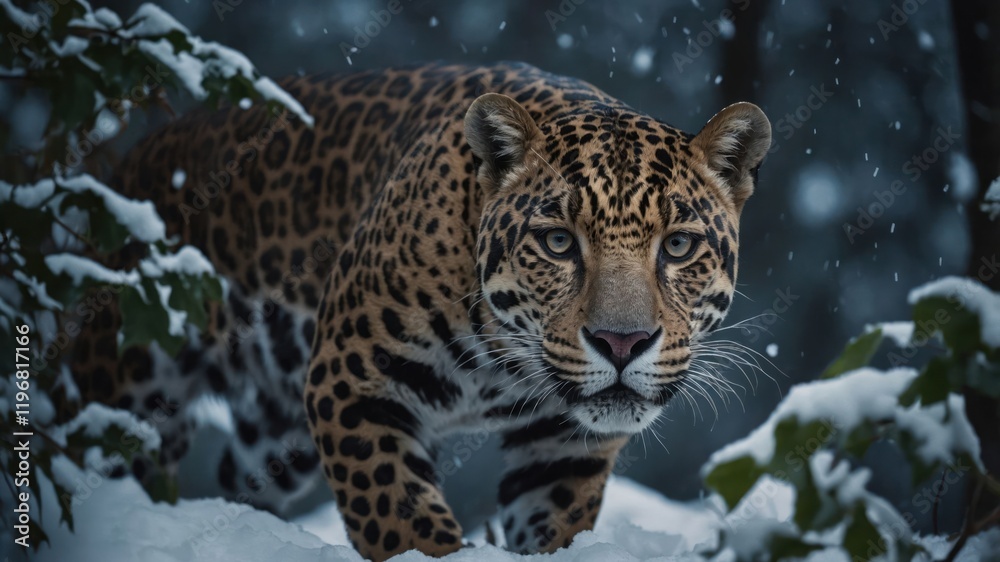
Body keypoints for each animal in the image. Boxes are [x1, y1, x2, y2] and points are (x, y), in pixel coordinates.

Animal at [67, 61, 771, 561]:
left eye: (677, 246)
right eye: (558, 242)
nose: (621, 343)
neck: (503, 364)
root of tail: (132, 157)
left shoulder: (562, 445)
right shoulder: (354, 383)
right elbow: (400, 518)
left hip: (276, 431)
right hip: (130, 384)